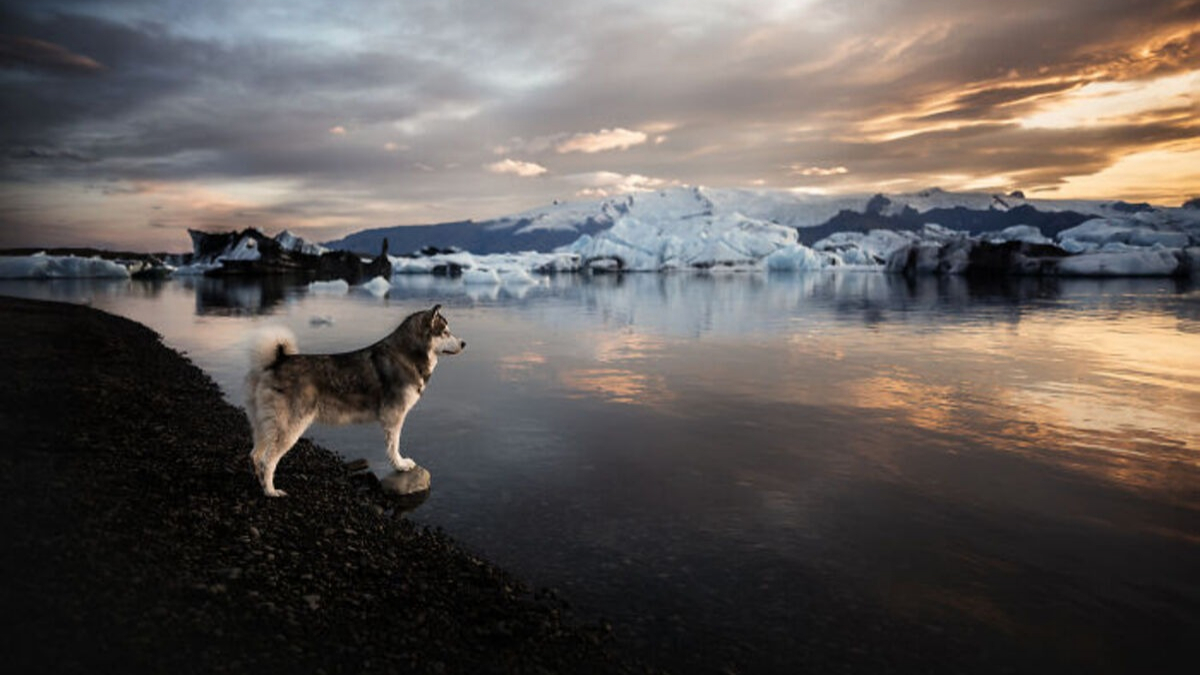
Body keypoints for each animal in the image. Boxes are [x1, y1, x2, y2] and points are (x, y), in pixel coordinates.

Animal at [243, 303, 463, 494]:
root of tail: (275, 362)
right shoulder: (394, 416)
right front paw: (400, 465)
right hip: (289, 428)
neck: (407, 355)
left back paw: (259, 482)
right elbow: (394, 445)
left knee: (255, 455)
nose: (464, 343)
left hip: (264, 426)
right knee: (267, 461)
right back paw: (271, 491)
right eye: (445, 332)